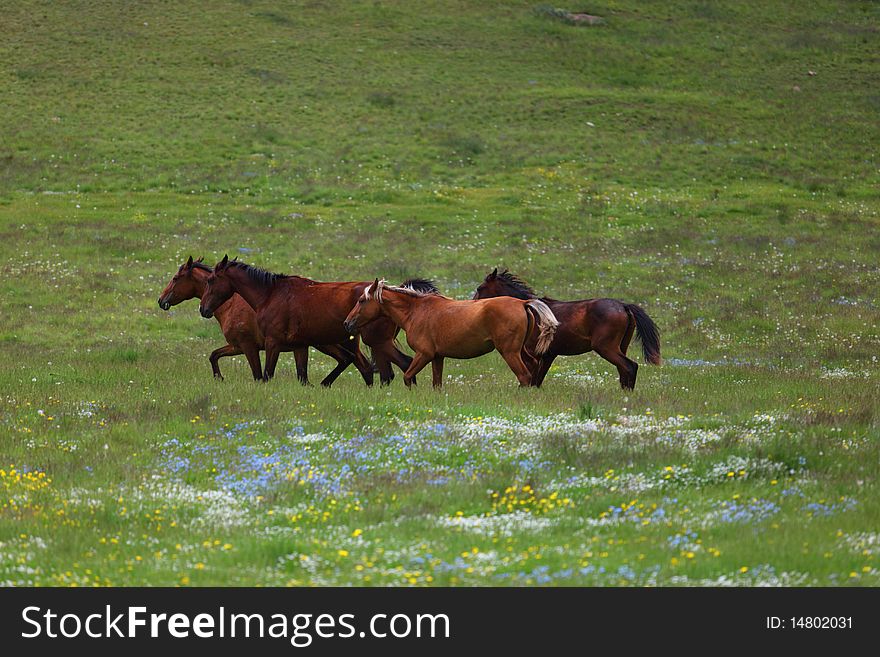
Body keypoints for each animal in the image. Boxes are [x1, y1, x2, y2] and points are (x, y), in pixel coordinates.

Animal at [157, 254, 364, 382]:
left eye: (175, 278)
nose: (161, 300)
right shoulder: (237, 346)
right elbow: (214, 355)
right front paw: (219, 378)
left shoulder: (250, 346)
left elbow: (259, 376)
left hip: (328, 344)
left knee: (358, 363)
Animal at [344, 278, 556, 390]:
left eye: (362, 300)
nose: (347, 323)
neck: (416, 311)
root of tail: (522, 303)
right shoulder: (438, 357)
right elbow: (437, 383)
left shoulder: (424, 354)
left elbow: (408, 377)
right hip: (520, 351)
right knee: (533, 367)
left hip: (509, 352)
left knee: (524, 376)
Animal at [474, 268, 660, 390]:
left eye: (480, 288)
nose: (473, 304)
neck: (530, 309)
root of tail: (623, 306)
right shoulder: (548, 355)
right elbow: (538, 381)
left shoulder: (536, 354)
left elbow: (532, 379)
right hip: (621, 347)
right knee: (624, 370)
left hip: (606, 347)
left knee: (630, 366)